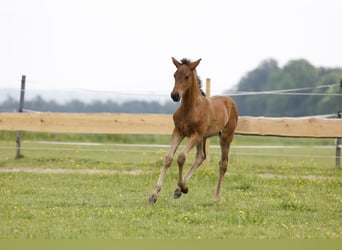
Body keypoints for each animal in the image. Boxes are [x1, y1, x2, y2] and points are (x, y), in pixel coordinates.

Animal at [150, 57, 238, 203]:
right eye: (174, 75)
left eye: (187, 76)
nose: (175, 95)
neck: (189, 109)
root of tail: (230, 101)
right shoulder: (178, 132)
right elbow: (168, 158)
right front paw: (154, 194)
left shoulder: (195, 134)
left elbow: (181, 157)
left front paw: (184, 187)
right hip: (203, 137)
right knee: (201, 157)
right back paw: (178, 190)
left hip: (225, 137)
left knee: (223, 164)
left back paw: (216, 197)